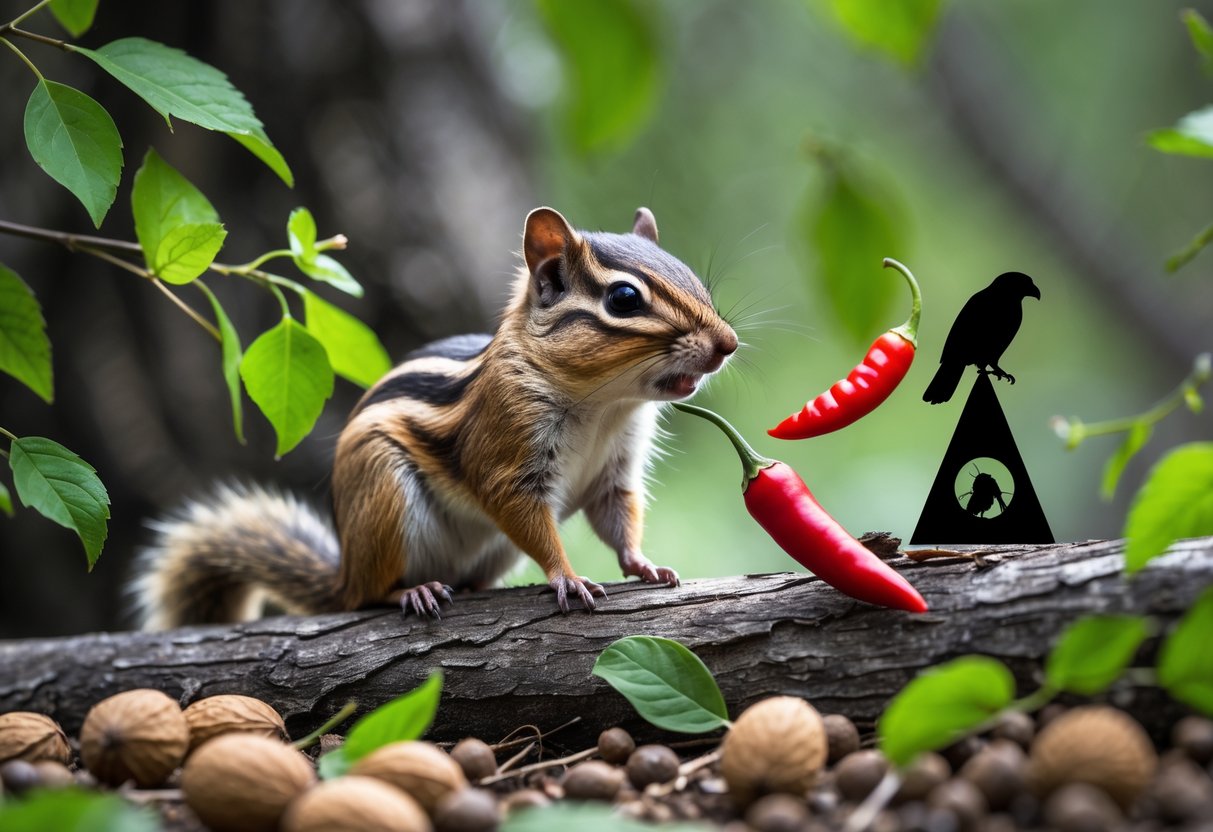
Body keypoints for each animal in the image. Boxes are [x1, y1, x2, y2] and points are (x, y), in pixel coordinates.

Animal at [133, 206, 738, 629]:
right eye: (624, 299)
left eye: (694, 278)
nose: (727, 345)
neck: (604, 404)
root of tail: (345, 570)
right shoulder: (507, 453)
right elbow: (527, 518)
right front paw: (567, 577)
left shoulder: (615, 469)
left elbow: (619, 518)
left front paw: (644, 564)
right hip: (383, 494)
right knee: (367, 597)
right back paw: (412, 590)